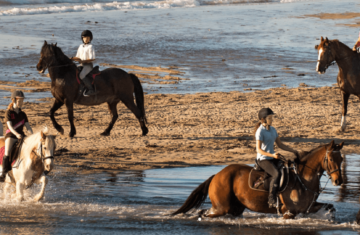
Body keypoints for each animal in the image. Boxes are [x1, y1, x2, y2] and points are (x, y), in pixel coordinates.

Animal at [173, 140, 344, 219]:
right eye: (330, 159)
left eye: (341, 158)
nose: (338, 181)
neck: (303, 180)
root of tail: (217, 175)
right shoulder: (288, 212)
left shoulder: (307, 207)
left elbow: (331, 208)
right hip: (222, 207)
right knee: (204, 213)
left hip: (235, 208)